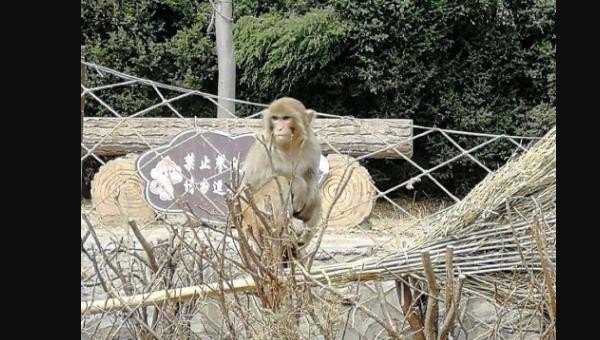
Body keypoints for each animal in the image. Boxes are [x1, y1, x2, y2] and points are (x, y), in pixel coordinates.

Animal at [240, 97, 324, 246]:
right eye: (275, 118)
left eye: (285, 118)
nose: (279, 128)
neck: (289, 145)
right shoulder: (263, 146)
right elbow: (249, 185)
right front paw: (299, 185)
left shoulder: (313, 145)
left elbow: (311, 175)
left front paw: (310, 202)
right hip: (255, 213)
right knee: (278, 181)